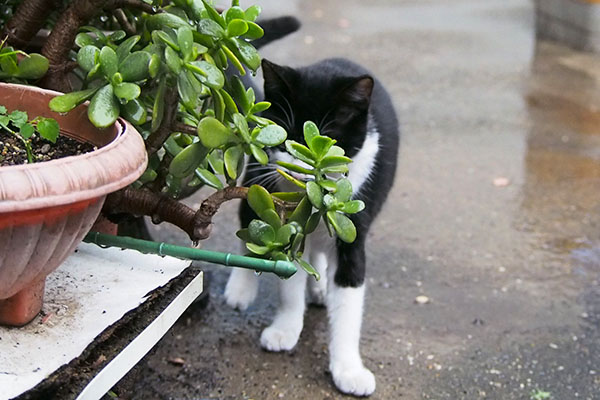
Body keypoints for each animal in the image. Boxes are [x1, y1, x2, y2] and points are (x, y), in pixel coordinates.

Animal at [225, 57, 398, 396]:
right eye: (284, 138)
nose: (296, 171)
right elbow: (288, 281)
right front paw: (285, 329)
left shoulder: (353, 230)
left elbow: (349, 302)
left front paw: (349, 369)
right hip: (255, 182)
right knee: (246, 227)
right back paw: (241, 288)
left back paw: (319, 287)